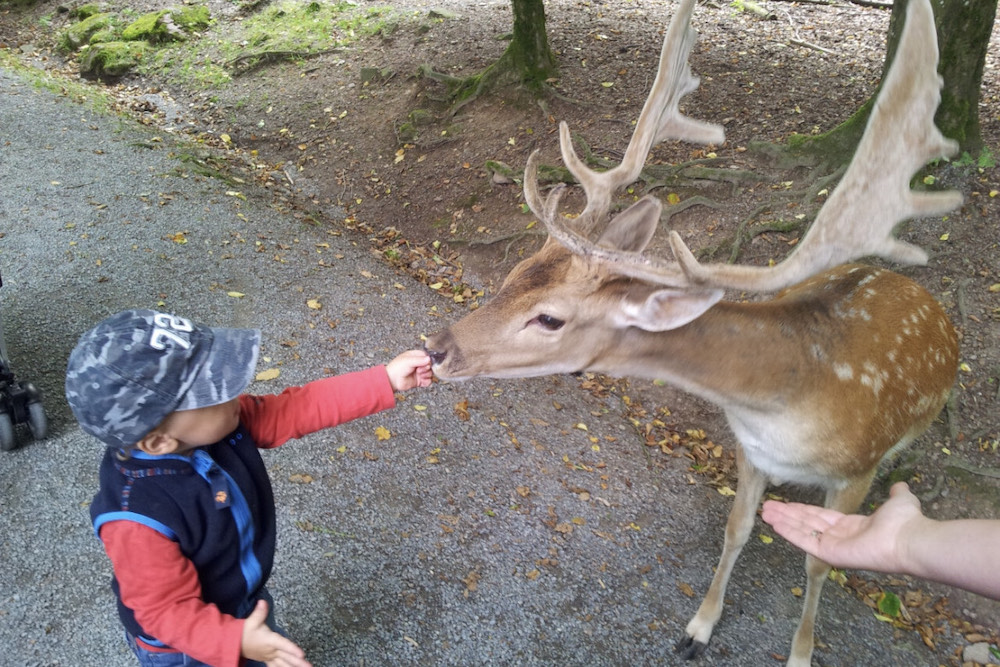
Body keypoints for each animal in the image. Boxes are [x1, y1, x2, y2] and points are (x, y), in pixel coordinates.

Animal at [422, 0, 960, 664]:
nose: (437, 348)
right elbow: (736, 528)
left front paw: (801, 651)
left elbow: (818, 564)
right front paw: (698, 627)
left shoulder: (853, 471)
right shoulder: (750, 451)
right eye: (517, 269)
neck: (788, 399)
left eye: (549, 318)